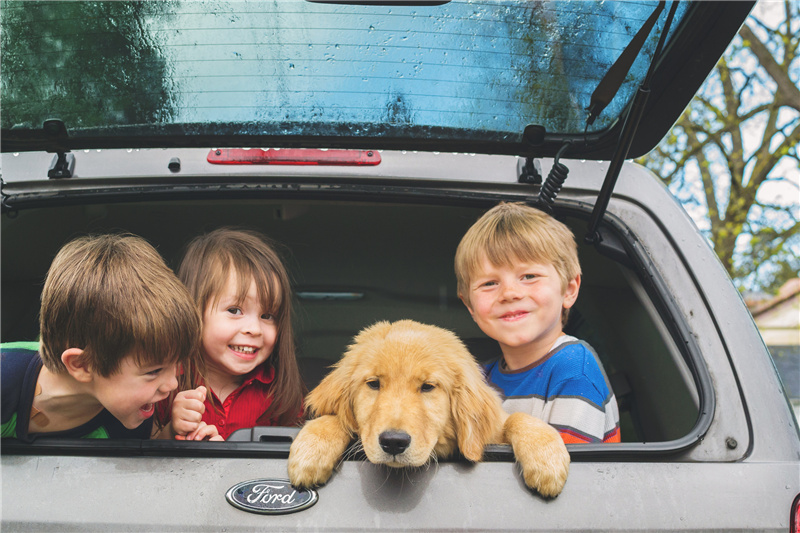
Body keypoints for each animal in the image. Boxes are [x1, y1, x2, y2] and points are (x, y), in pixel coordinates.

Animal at [288, 318, 568, 496]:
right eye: (374, 384)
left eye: (428, 387)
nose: (393, 442)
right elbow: (334, 418)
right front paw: (312, 449)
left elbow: (517, 418)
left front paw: (547, 460)